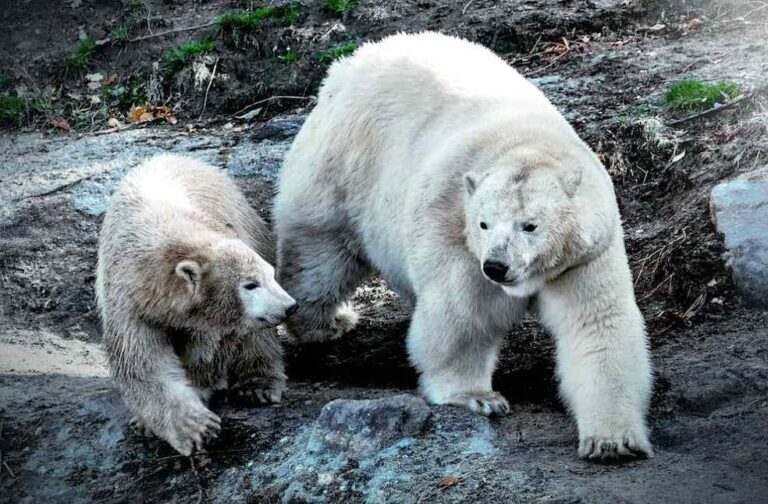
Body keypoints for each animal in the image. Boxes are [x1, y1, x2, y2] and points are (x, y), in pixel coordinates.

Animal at [97, 155, 296, 456]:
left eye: (270, 275)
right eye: (250, 284)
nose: (289, 306)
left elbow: (206, 350)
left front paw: (200, 399)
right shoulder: (129, 304)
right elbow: (143, 364)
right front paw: (192, 428)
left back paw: (257, 385)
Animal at [272, 31, 652, 460]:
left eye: (530, 225)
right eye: (484, 223)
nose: (497, 267)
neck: (523, 143)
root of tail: (349, 63)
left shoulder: (584, 253)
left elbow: (597, 324)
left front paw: (613, 442)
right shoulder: (454, 228)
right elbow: (464, 312)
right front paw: (479, 397)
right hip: (343, 164)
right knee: (321, 253)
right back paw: (325, 323)